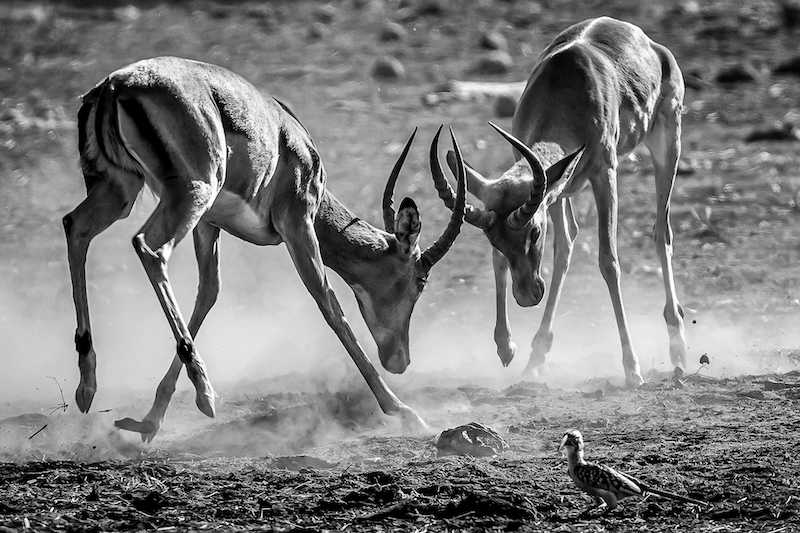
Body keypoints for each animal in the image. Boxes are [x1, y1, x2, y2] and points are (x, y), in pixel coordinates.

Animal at [63, 56, 467, 441]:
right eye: (420, 281)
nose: (400, 360)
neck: (297, 149)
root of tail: (115, 86)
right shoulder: (298, 224)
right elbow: (329, 304)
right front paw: (404, 411)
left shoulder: (210, 225)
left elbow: (208, 294)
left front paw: (150, 421)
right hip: (191, 194)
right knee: (149, 249)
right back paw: (204, 392)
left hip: (120, 191)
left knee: (75, 227)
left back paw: (87, 385)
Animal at [430, 17, 687, 385]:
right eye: (492, 237)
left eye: (534, 233)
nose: (526, 296)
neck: (566, 91)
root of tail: (646, 41)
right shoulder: (545, 185)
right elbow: (506, 259)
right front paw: (507, 348)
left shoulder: (604, 173)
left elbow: (609, 261)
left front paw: (632, 369)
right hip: (561, 192)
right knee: (567, 244)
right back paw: (536, 356)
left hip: (668, 142)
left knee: (661, 231)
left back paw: (678, 349)